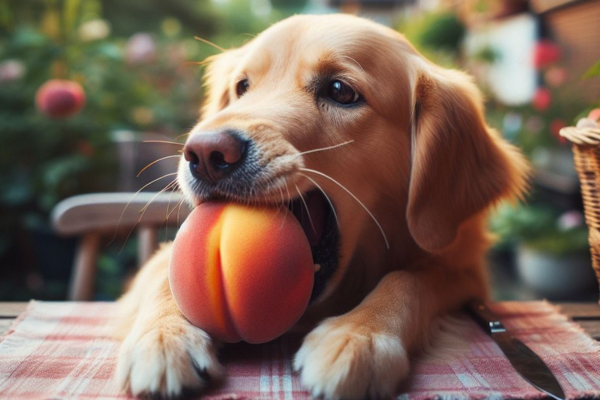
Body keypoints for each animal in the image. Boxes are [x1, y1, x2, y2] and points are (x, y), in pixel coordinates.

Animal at [115, 13, 528, 400]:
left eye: (341, 91)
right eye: (242, 86)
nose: (205, 153)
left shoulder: (465, 275)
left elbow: (409, 278)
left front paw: (358, 337)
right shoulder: (160, 258)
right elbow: (165, 278)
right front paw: (163, 339)